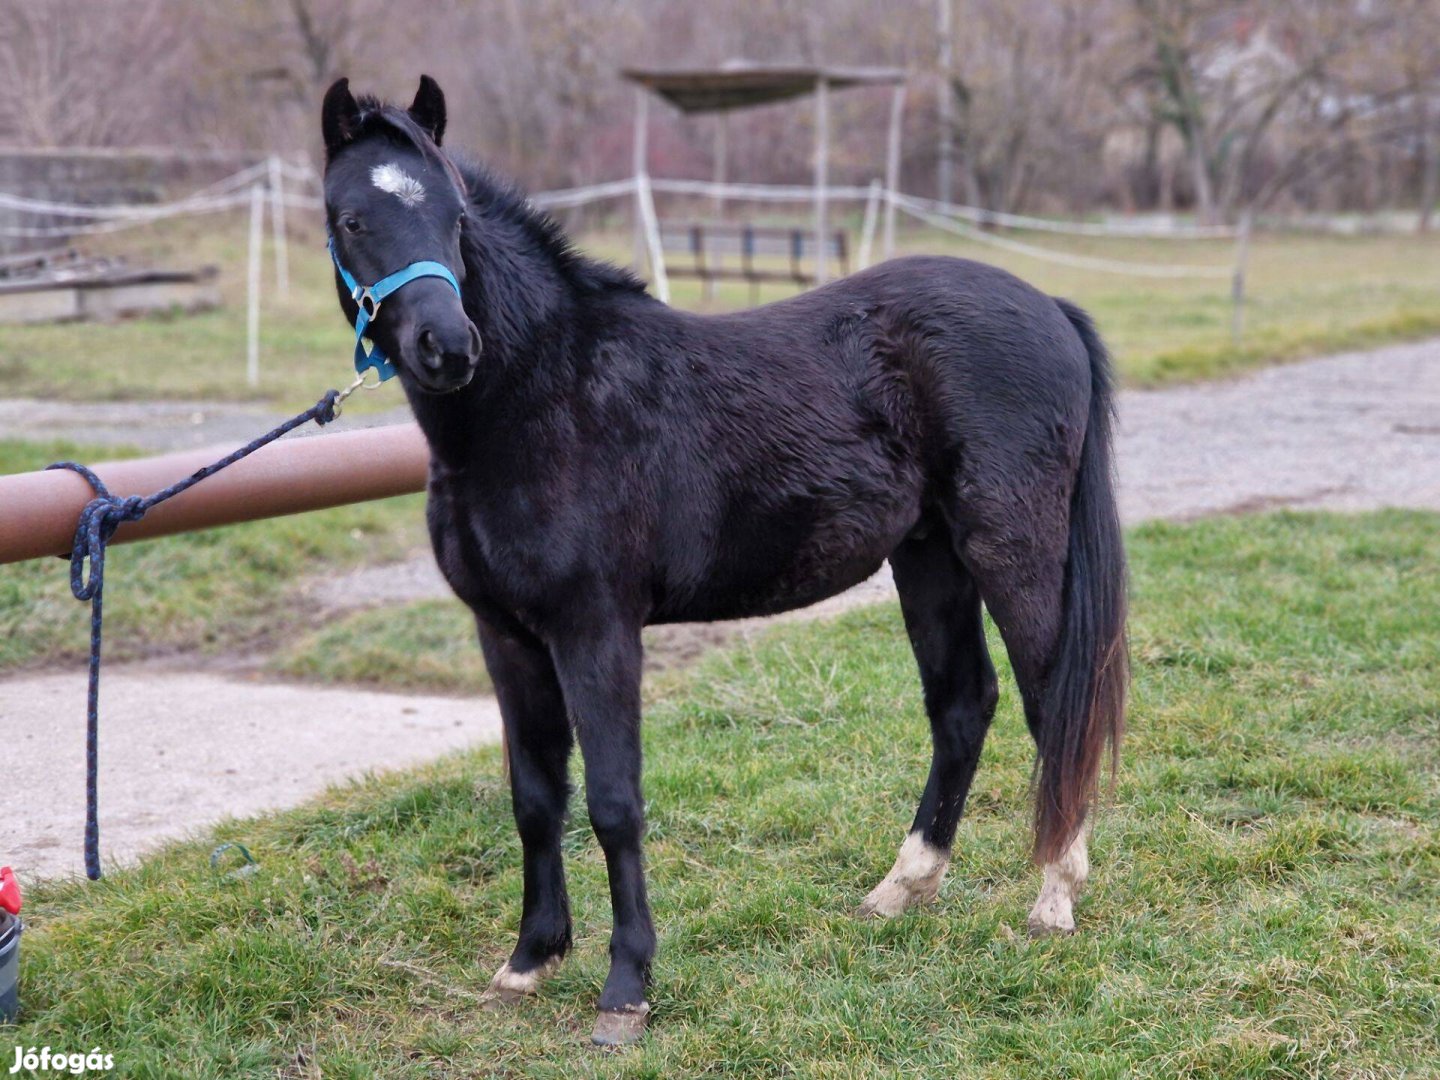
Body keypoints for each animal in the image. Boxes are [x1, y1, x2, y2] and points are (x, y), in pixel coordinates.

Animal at [321, 78, 1128, 1048]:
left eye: (454, 216)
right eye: (352, 218)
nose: (448, 347)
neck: (540, 398)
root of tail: (1052, 308)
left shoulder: (596, 631)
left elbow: (613, 801)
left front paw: (625, 989)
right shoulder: (506, 637)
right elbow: (535, 796)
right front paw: (529, 959)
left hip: (1011, 551)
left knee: (1056, 705)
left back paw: (1054, 899)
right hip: (929, 556)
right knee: (964, 705)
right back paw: (903, 888)